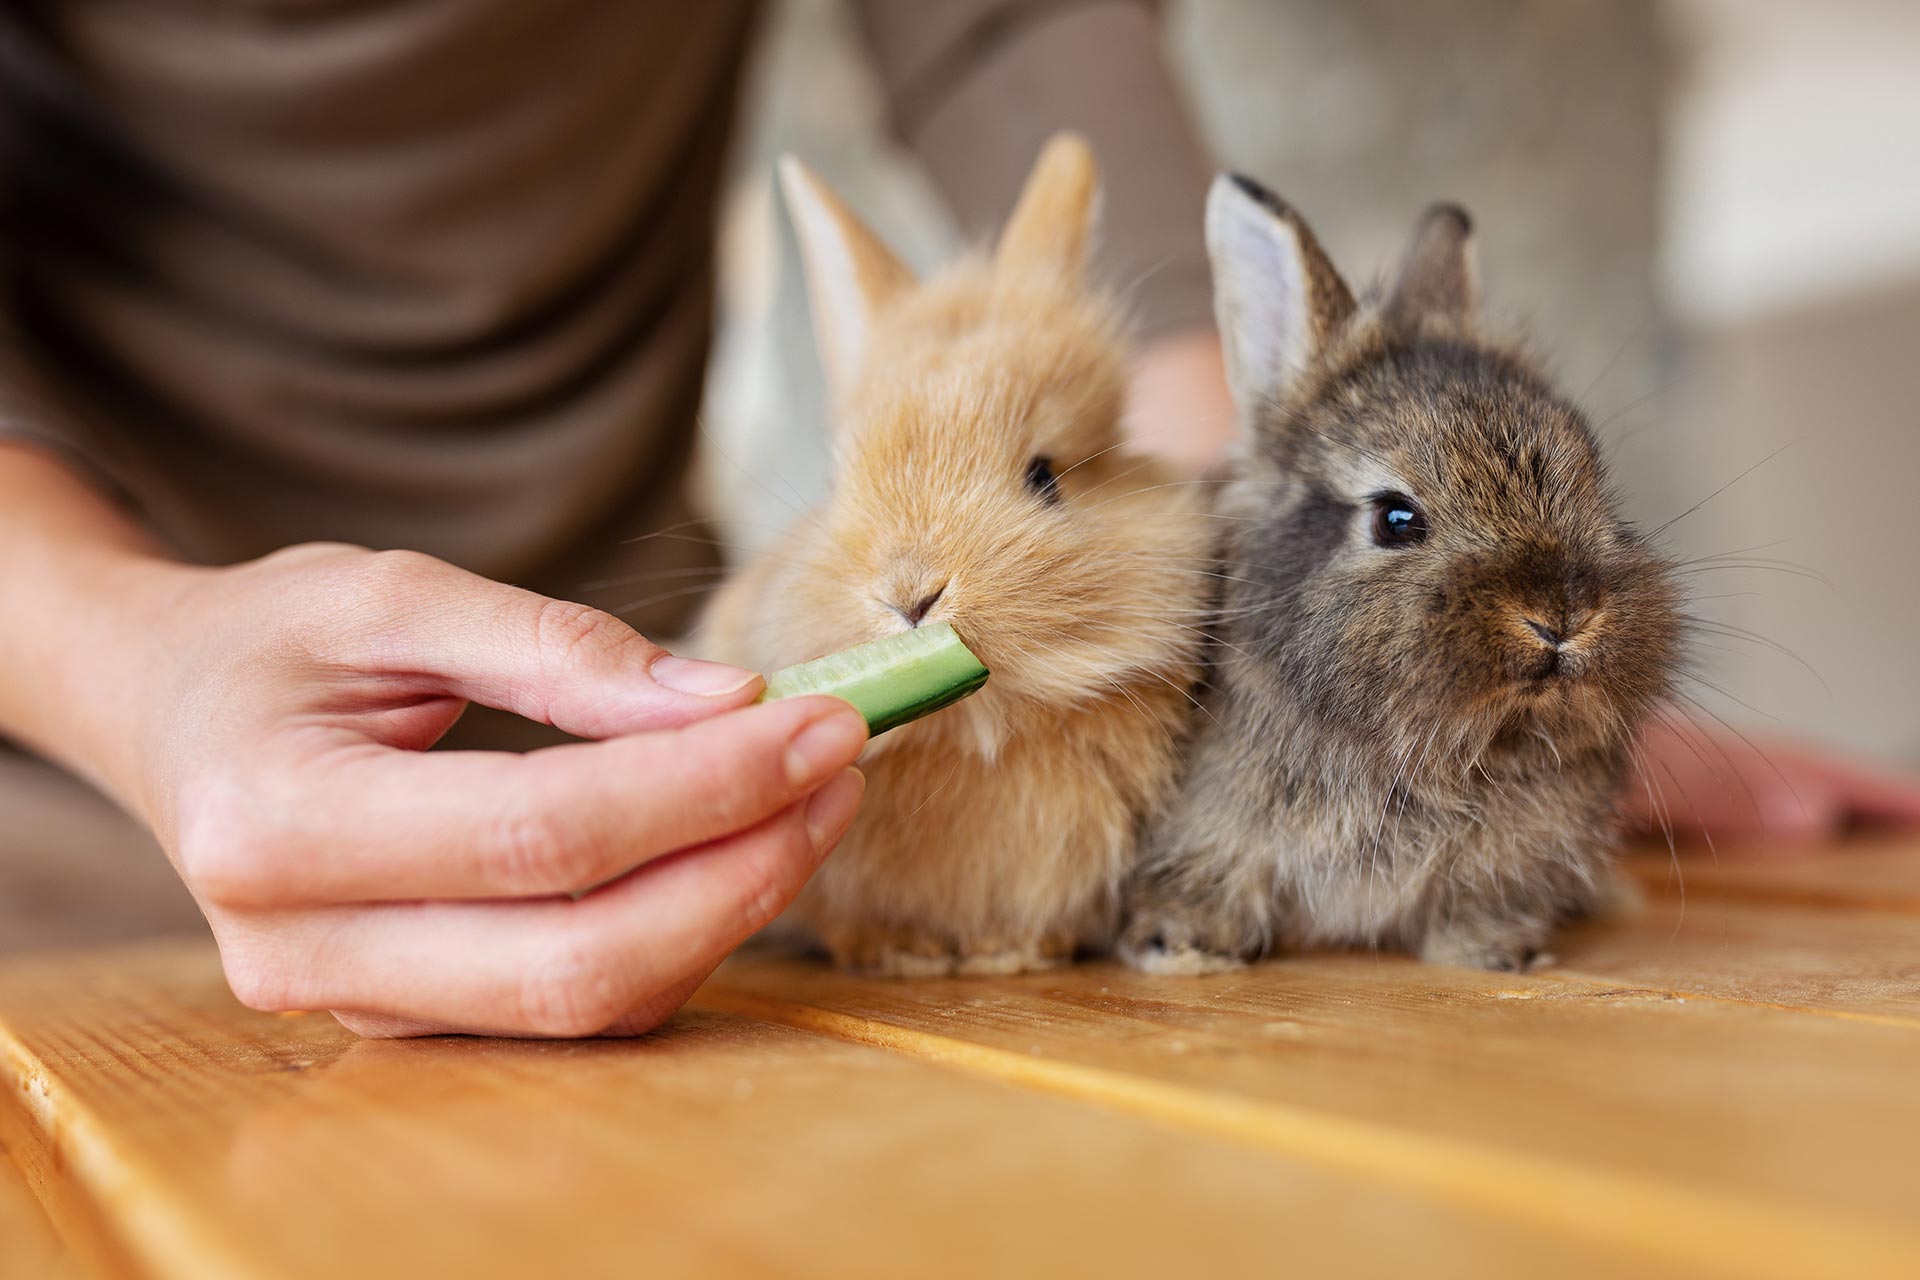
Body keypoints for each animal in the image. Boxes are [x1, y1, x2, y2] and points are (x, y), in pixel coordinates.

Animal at [699, 135, 1212, 976]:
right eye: (836, 484)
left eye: (1045, 476)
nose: (910, 595)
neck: (976, 730)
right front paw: (899, 954)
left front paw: (1013, 952)